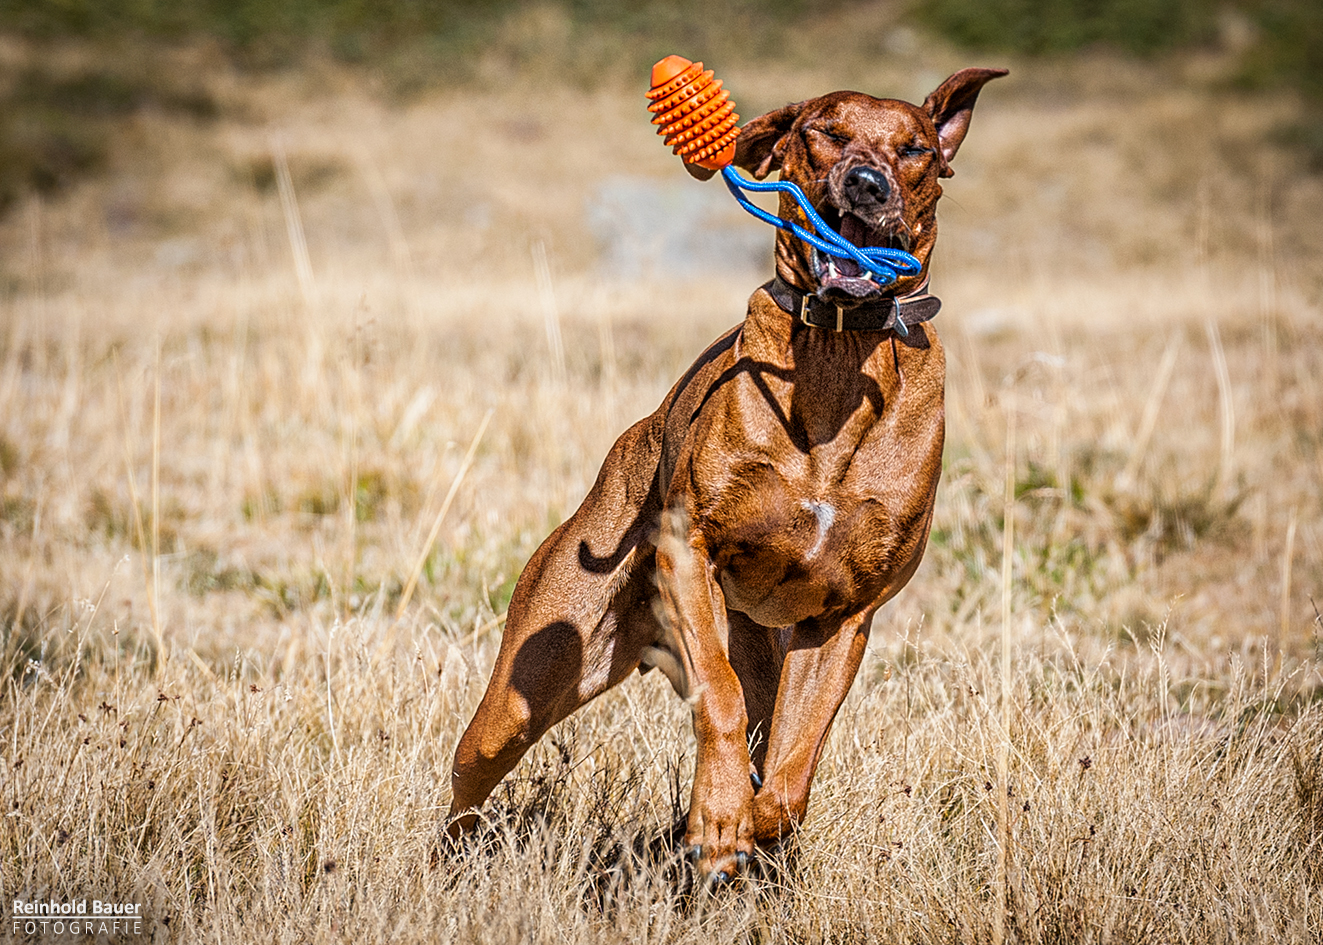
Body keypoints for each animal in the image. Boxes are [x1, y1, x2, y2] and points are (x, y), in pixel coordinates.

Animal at [449, 64, 1005, 873]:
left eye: (915, 150)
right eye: (825, 131)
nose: (867, 184)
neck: (836, 355)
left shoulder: (844, 617)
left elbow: (795, 759)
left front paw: (761, 822)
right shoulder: (691, 555)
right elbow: (718, 695)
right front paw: (716, 817)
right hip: (528, 682)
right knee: (469, 777)